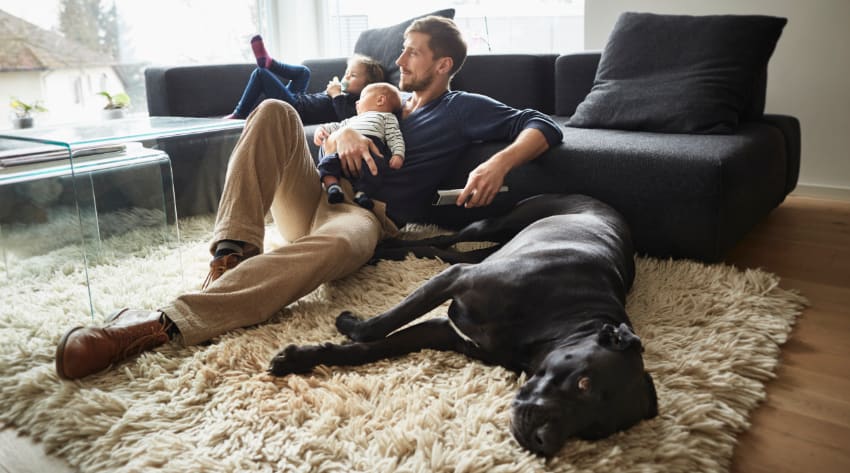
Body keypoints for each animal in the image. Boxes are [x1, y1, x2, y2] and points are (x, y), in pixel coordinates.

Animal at [268, 194, 660, 456]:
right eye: (583, 382)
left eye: (594, 429)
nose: (545, 443)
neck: (566, 319)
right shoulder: (456, 280)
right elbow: (379, 327)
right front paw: (347, 324)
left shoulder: (445, 332)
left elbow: (371, 348)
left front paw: (302, 357)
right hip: (492, 224)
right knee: (445, 239)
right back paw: (384, 247)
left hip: (487, 247)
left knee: (443, 250)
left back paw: (386, 252)